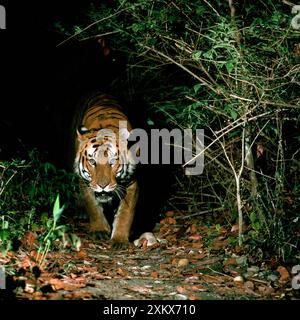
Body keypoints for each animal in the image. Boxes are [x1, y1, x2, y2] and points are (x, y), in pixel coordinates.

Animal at [73, 92, 139, 248]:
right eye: (92, 161)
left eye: (113, 162)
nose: (102, 186)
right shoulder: (85, 183)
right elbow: (93, 207)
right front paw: (100, 230)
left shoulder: (132, 182)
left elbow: (125, 213)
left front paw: (119, 239)